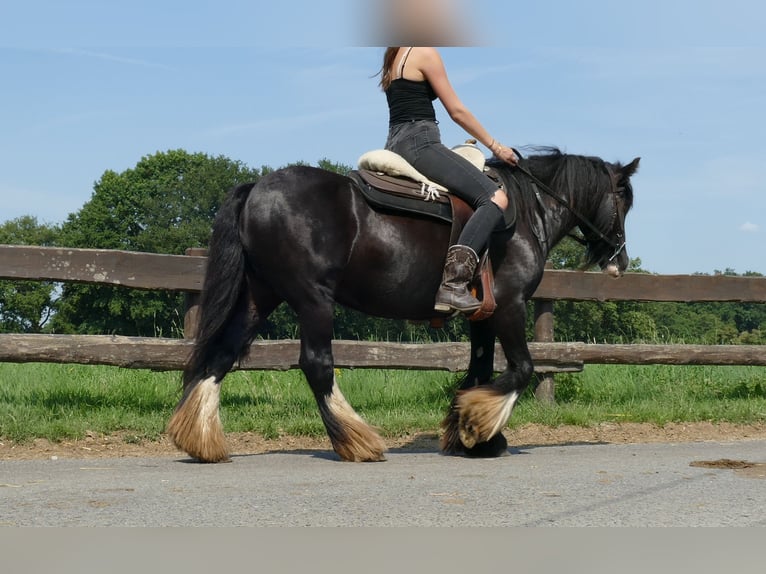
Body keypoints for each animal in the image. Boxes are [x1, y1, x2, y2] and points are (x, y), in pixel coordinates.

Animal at [170, 147, 640, 464]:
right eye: (624, 201)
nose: (621, 261)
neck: (525, 213)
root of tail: (256, 188)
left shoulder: (482, 316)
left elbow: (480, 370)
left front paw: (471, 434)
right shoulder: (511, 306)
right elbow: (521, 369)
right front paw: (480, 427)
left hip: (262, 294)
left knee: (224, 353)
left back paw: (200, 438)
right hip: (312, 297)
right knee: (316, 364)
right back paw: (355, 440)